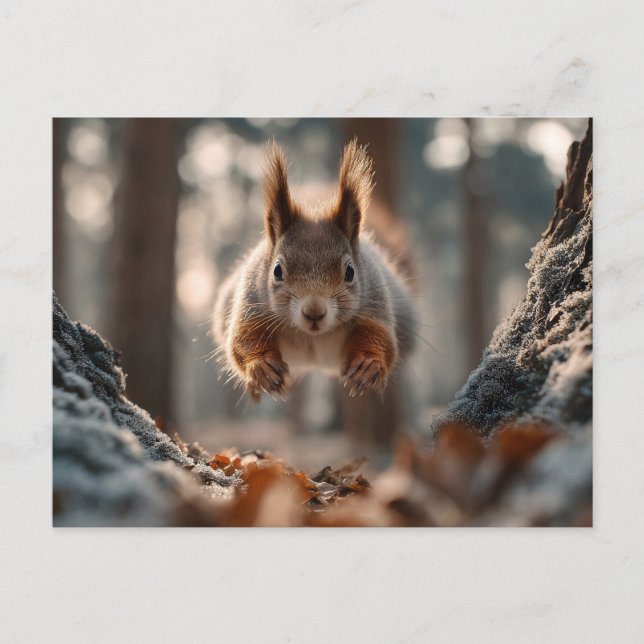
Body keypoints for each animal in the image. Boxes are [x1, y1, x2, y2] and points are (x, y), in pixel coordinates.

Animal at [212, 140, 416, 401]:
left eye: (350, 272)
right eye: (277, 271)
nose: (314, 312)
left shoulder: (374, 303)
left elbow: (381, 338)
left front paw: (367, 365)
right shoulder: (252, 303)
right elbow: (242, 339)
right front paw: (261, 367)